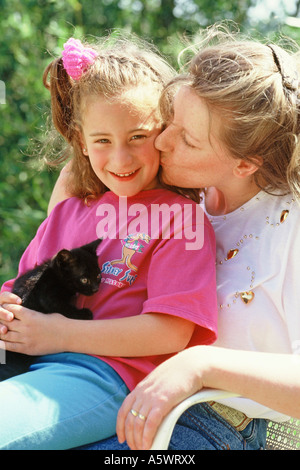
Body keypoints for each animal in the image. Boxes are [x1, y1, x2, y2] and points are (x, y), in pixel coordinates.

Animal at [0, 241, 102, 380]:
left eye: (98, 275)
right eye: (84, 279)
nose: (96, 289)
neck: (54, 276)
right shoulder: (47, 296)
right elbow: (65, 308)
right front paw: (84, 313)